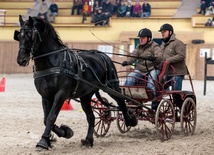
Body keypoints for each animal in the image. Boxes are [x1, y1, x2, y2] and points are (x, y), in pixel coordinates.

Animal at [14, 15, 137, 150]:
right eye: (19, 36)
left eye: (30, 34)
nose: (21, 59)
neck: (52, 63)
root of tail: (103, 55)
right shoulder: (45, 96)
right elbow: (46, 119)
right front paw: (62, 133)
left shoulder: (61, 94)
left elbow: (51, 117)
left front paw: (44, 141)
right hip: (86, 96)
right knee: (91, 117)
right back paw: (88, 140)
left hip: (112, 86)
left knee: (121, 101)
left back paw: (130, 120)